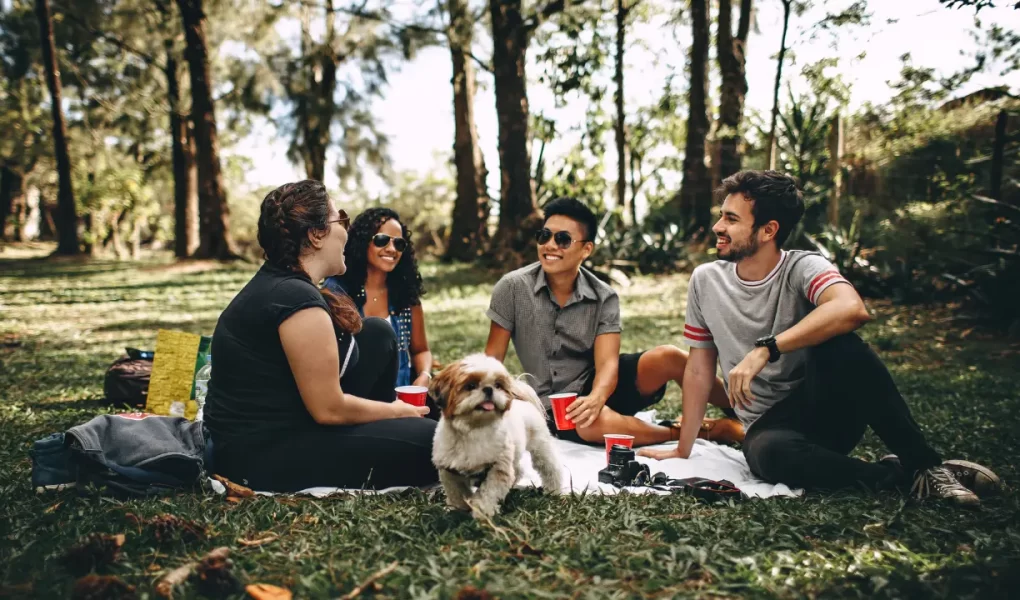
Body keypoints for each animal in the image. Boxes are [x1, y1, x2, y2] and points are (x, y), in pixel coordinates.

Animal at [426, 353, 563, 518]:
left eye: (498, 385)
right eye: (470, 386)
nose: (489, 389)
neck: (474, 429)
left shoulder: (498, 467)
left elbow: (489, 492)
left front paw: (482, 511)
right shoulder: (449, 470)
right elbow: (456, 492)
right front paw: (458, 509)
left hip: (540, 447)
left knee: (550, 469)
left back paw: (553, 490)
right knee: (518, 470)